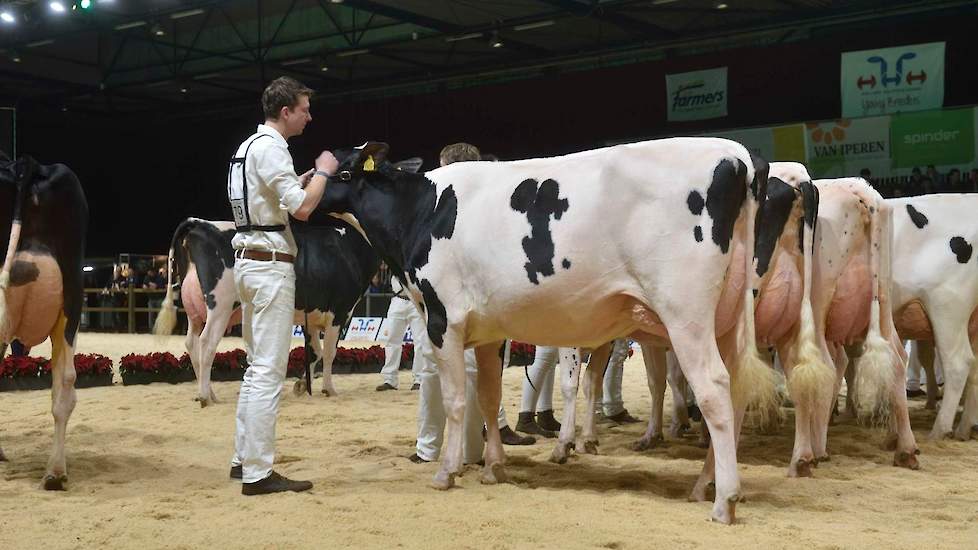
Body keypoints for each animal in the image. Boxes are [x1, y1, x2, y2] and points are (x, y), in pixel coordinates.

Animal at [153, 215, 378, 406]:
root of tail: (198, 223)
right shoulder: (340, 311)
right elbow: (330, 352)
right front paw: (329, 389)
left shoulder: (311, 315)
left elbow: (315, 351)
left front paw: (302, 386)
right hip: (220, 306)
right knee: (206, 342)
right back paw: (204, 396)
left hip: (195, 312)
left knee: (191, 343)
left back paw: (210, 393)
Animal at [318, 139, 772, 528]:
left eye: (338, 168)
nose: (306, 184)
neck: (423, 210)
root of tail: (738, 155)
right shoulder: (488, 330)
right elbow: (488, 397)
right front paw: (494, 467)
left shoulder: (443, 319)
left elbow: (456, 400)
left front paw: (447, 472)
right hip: (727, 317)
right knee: (734, 392)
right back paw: (704, 484)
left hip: (685, 314)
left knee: (713, 388)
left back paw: (724, 501)